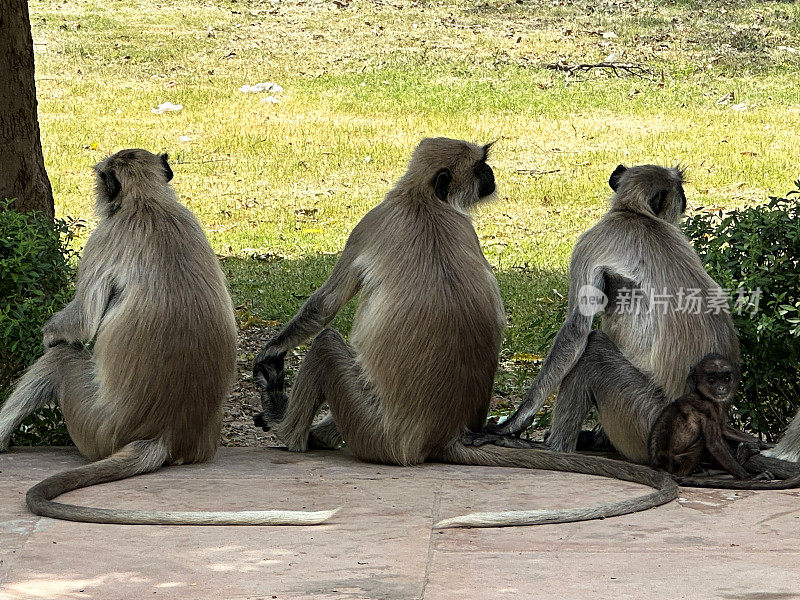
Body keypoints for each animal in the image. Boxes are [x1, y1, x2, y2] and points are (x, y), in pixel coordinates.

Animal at [0, 150, 336, 524]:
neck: (149, 202)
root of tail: (163, 434)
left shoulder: (105, 237)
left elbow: (81, 324)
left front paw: (49, 333)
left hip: (95, 427)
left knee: (61, 358)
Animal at [253, 138, 680, 528]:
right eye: (480, 167)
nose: (490, 174)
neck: (424, 200)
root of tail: (442, 434)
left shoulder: (374, 220)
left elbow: (325, 305)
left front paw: (270, 353)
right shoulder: (465, 229)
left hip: (372, 431)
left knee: (326, 344)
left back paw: (288, 430)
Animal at [468, 164, 744, 464]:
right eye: (680, 191)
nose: (685, 200)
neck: (633, 213)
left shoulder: (590, 240)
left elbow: (576, 330)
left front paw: (513, 423)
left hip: (642, 420)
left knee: (593, 348)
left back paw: (555, 448)